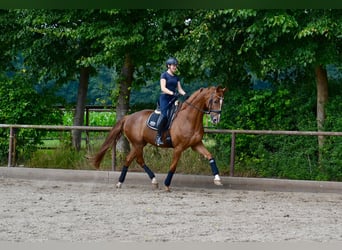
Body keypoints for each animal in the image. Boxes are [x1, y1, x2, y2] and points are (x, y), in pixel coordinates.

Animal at [93, 85, 227, 190]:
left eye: (222, 102)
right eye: (215, 101)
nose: (216, 120)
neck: (189, 118)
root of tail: (128, 117)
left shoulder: (196, 144)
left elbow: (210, 156)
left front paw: (217, 179)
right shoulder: (179, 147)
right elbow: (173, 166)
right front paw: (167, 184)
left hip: (139, 144)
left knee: (129, 159)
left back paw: (121, 182)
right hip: (137, 144)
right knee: (138, 160)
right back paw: (153, 180)